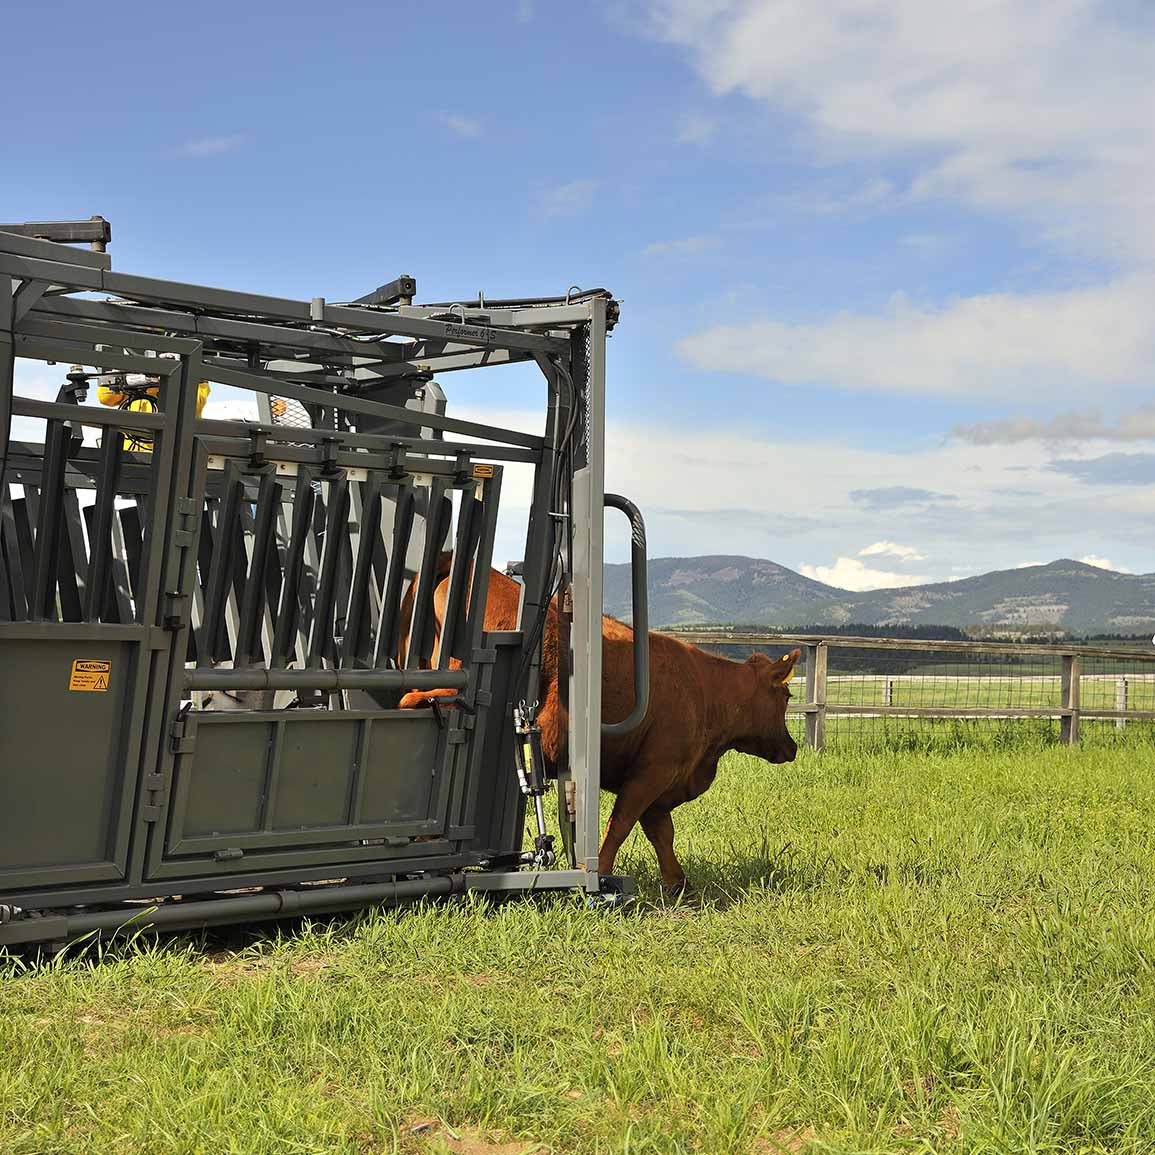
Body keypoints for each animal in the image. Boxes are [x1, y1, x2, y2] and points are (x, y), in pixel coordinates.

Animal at [398, 558, 799, 891]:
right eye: (787, 696)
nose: (792, 747)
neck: (705, 692)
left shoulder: (659, 786)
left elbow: (662, 834)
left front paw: (678, 883)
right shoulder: (652, 772)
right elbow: (620, 825)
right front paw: (601, 875)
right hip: (454, 681)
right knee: (411, 702)